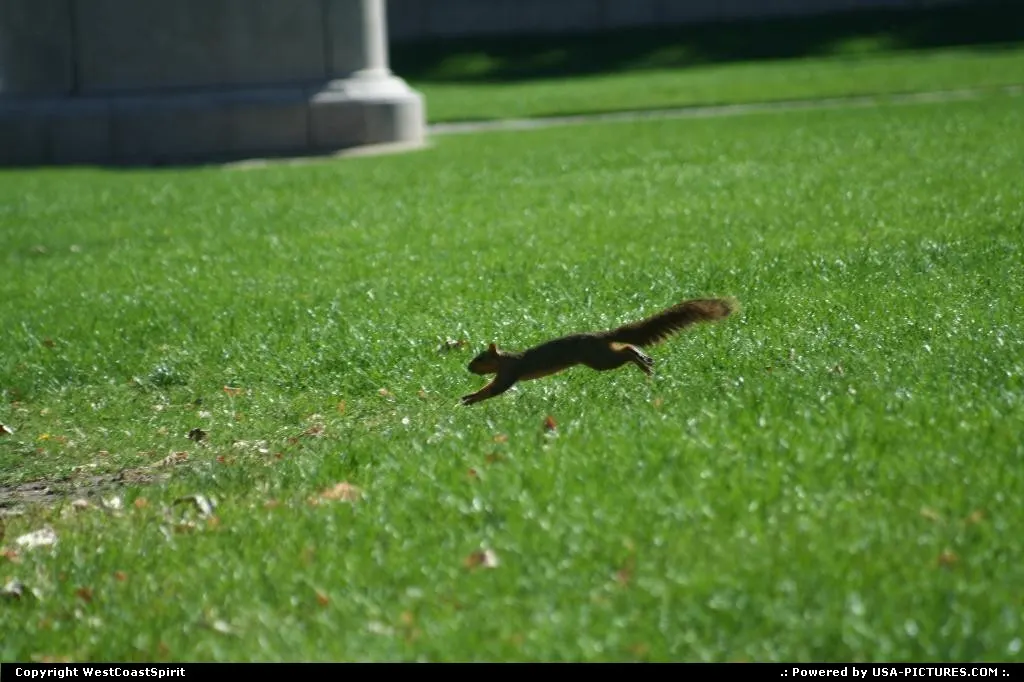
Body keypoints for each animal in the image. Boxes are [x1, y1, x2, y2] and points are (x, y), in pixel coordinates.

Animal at [461, 297, 738, 405]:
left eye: (480, 358)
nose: (468, 367)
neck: (505, 359)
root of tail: (602, 334)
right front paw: (468, 396)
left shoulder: (509, 372)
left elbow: (493, 390)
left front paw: (470, 398)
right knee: (624, 348)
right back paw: (644, 361)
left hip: (599, 359)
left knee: (625, 350)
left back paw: (640, 359)